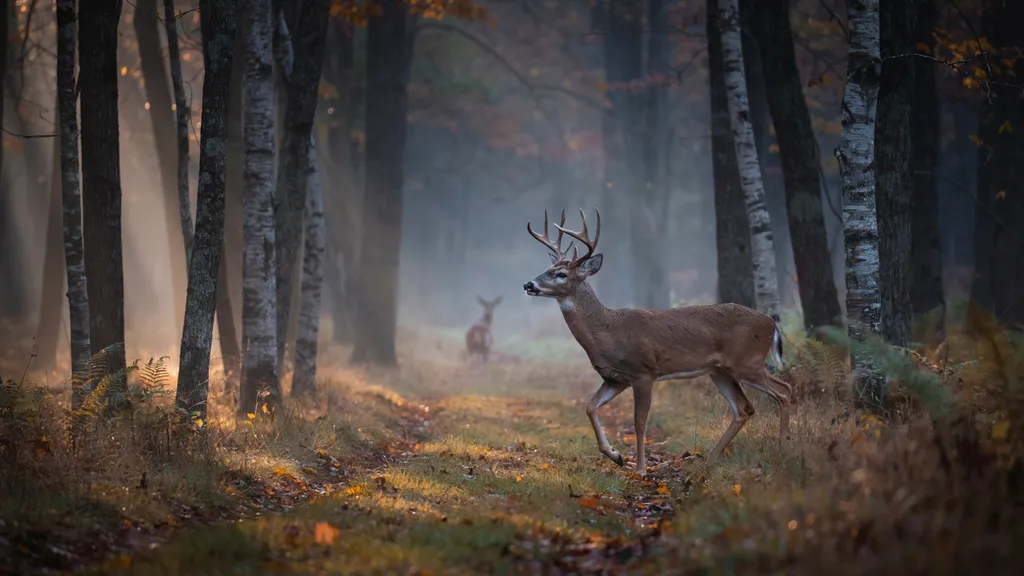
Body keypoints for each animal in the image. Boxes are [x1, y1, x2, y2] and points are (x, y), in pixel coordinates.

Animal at [522, 209, 792, 477]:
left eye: (561, 274)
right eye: (548, 267)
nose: (528, 284)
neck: (609, 331)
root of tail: (771, 323)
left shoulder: (643, 372)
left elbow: (639, 422)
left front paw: (640, 469)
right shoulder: (615, 378)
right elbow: (590, 406)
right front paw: (616, 456)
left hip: (746, 361)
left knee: (784, 390)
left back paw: (783, 447)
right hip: (719, 371)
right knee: (744, 407)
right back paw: (709, 460)